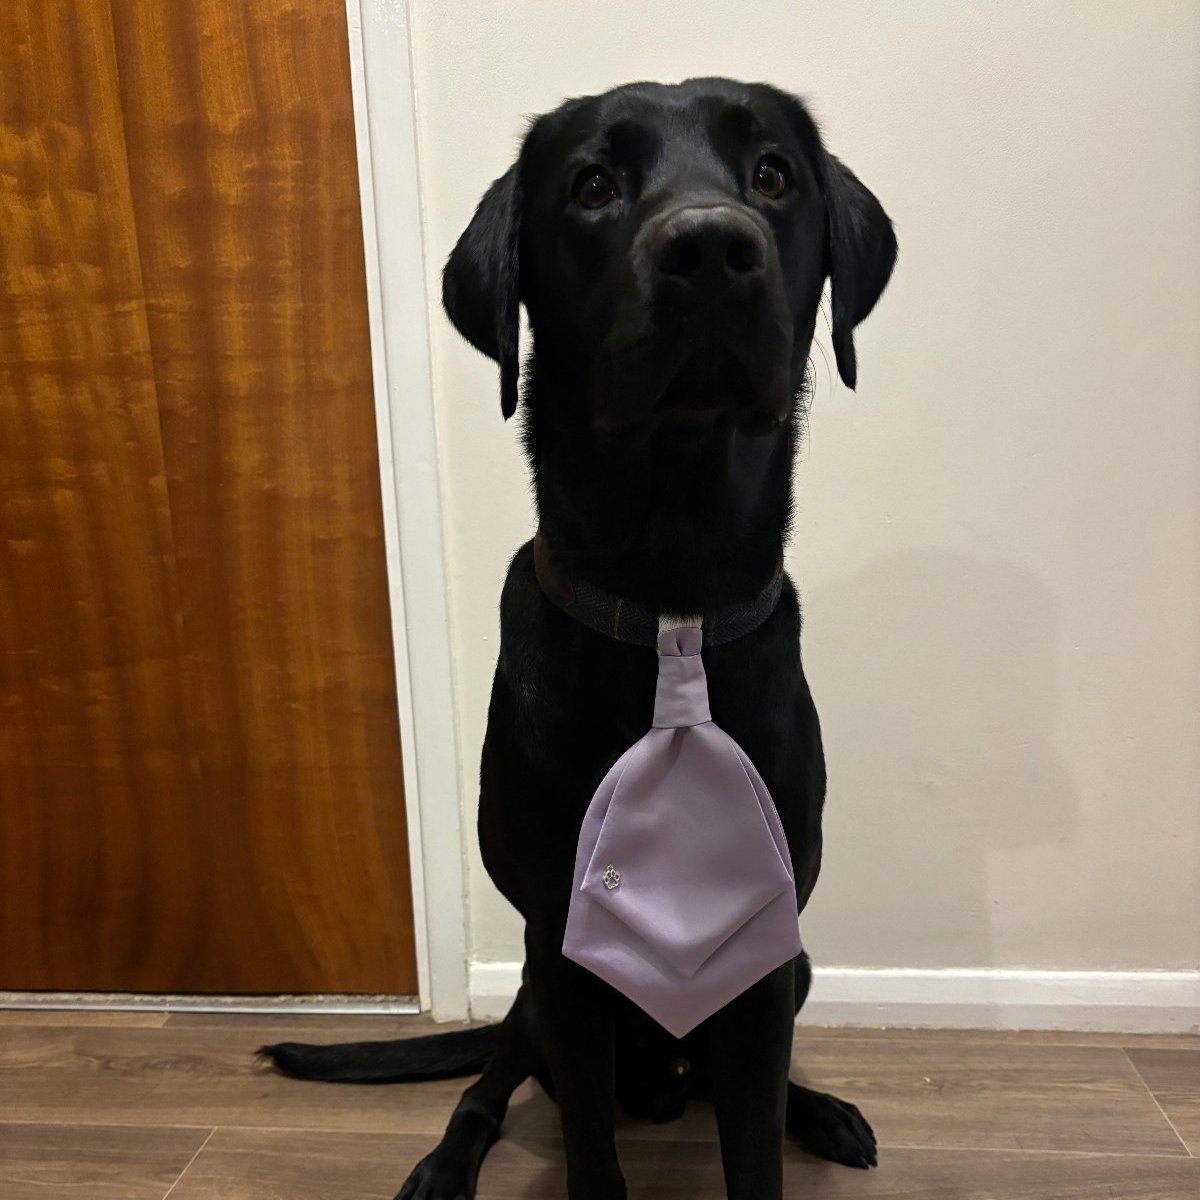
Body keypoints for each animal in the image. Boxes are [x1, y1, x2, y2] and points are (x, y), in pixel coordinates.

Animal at [267, 77, 897, 1200]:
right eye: (593, 185)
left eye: (773, 174)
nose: (711, 247)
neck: (669, 601)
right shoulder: (558, 948)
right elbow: (591, 1157)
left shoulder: (763, 955)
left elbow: (752, 1147)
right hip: (530, 988)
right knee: (489, 1084)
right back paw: (446, 1161)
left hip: (791, 966)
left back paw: (821, 1112)